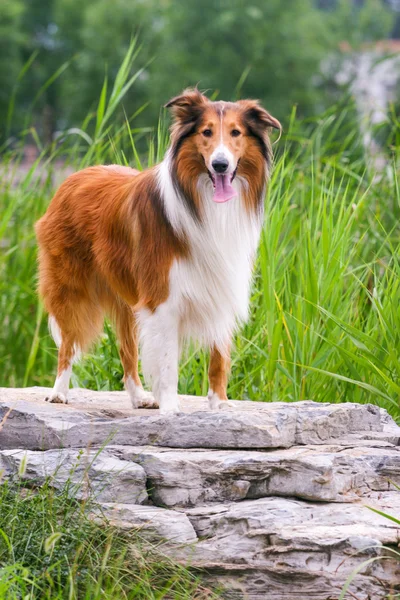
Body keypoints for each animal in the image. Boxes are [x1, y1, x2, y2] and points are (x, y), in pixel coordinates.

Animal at [36, 89, 282, 414]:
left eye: (236, 133)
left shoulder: (221, 285)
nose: (220, 165)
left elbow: (219, 357)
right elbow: (166, 363)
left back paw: (139, 397)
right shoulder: (161, 298)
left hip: (127, 299)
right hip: (72, 288)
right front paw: (171, 409)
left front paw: (220, 404)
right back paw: (58, 392)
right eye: (206, 132)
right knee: (69, 343)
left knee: (126, 350)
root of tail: (73, 178)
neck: (202, 202)